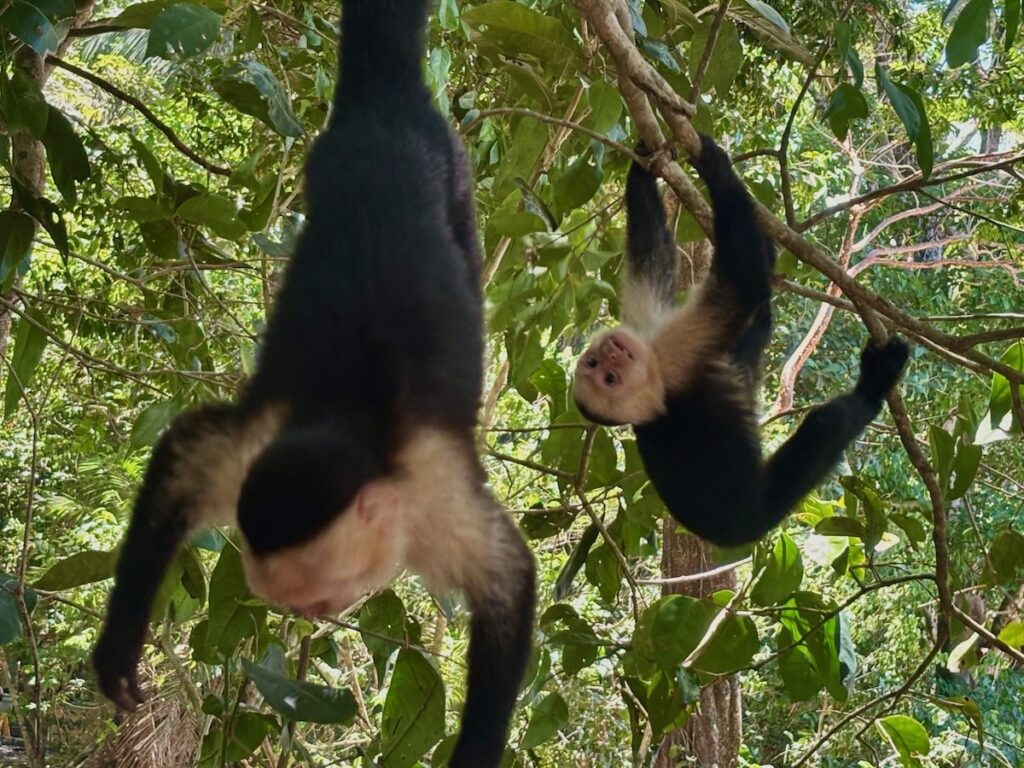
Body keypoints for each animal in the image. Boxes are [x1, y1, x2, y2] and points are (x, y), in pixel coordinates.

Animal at [91, 2, 536, 766]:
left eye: (321, 602)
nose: (306, 617)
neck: (344, 427)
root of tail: (384, 106)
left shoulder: (436, 503)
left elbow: (511, 582)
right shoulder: (245, 456)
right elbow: (184, 445)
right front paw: (120, 645)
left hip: (451, 162)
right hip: (326, 160)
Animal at [573, 136, 910, 547]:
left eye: (599, 367)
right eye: (608, 379)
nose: (610, 354)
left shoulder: (645, 332)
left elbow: (651, 253)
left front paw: (644, 164)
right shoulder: (674, 357)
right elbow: (741, 284)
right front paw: (715, 167)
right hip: (768, 505)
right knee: (826, 424)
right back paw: (872, 386)